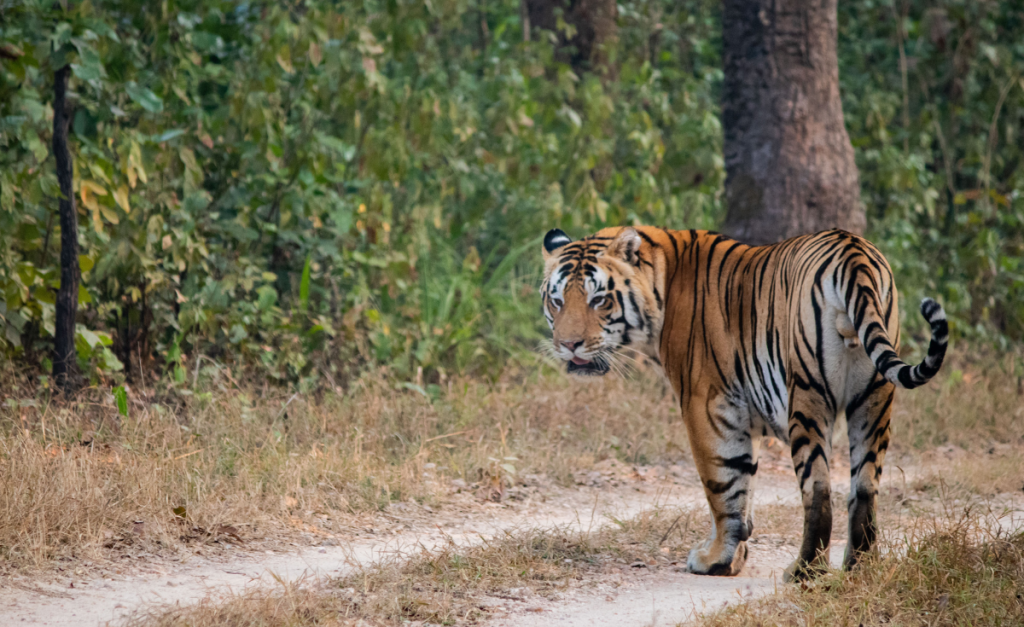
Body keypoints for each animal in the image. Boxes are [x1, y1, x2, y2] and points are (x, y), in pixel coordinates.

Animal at [540, 226, 947, 579]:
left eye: (599, 299)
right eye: (557, 301)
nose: (568, 345)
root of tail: (853, 253)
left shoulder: (706, 405)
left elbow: (724, 486)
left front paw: (716, 559)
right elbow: (745, 486)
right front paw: (736, 555)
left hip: (807, 395)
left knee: (817, 488)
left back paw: (804, 571)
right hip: (874, 399)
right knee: (864, 487)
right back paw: (860, 568)